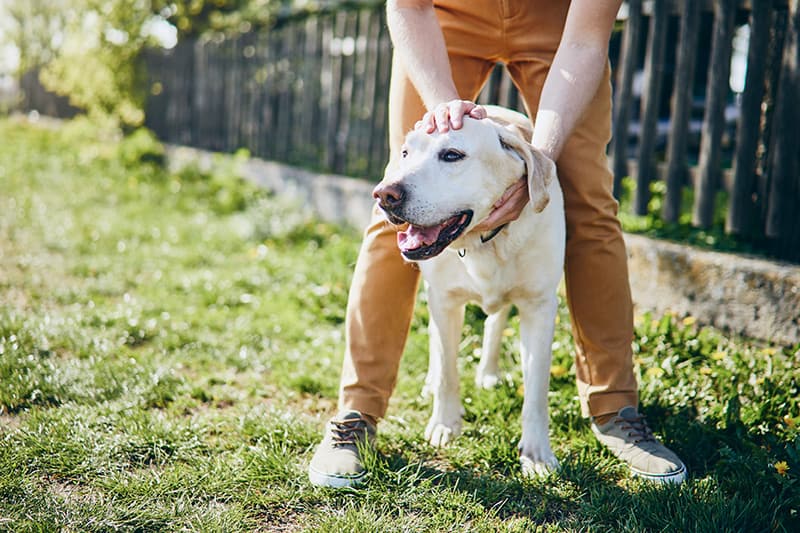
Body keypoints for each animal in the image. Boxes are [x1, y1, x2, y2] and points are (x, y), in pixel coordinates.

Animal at [374, 106, 564, 476]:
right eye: (405, 153)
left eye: (452, 155)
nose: (384, 194)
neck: (484, 242)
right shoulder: (445, 301)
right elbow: (448, 370)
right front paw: (444, 425)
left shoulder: (540, 307)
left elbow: (536, 389)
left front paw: (536, 454)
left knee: (496, 320)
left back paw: (488, 372)